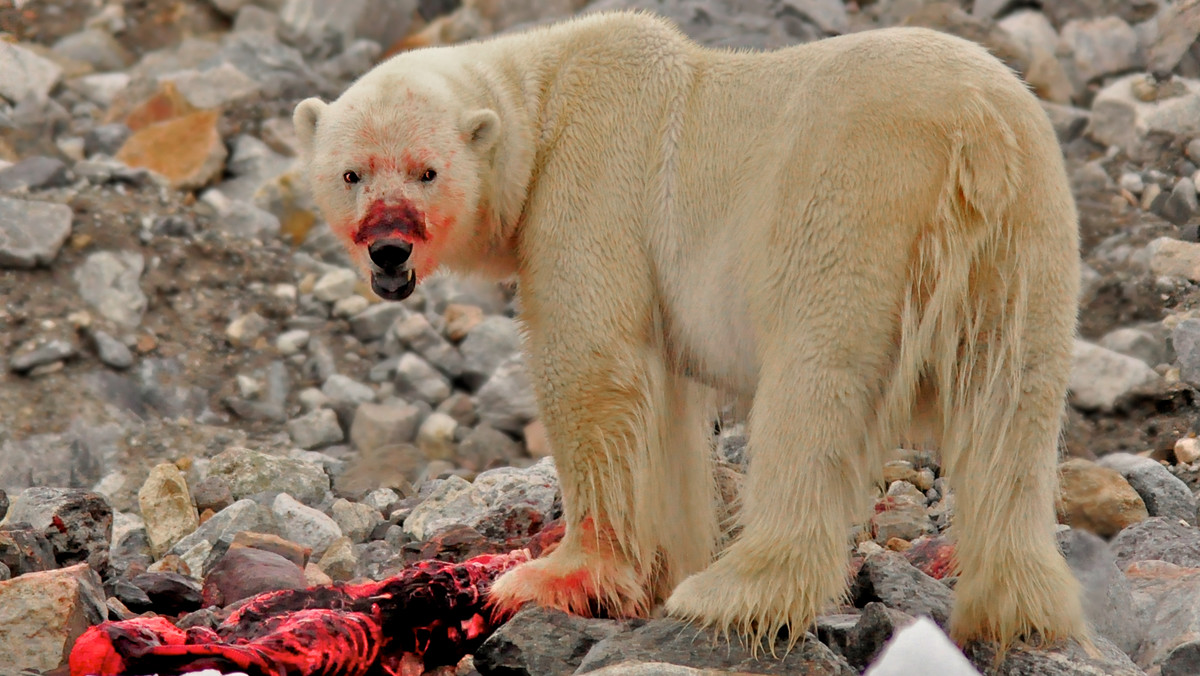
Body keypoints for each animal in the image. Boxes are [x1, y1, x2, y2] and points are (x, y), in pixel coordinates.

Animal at [297, 10, 1089, 653]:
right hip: (1029, 232)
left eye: (426, 172)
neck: (545, 95)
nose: (389, 247)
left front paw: (553, 578)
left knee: (814, 391)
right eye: (352, 173)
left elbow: (590, 366)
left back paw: (733, 593)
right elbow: (666, 415)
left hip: (852, 204)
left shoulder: (592, 182)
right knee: (1012, 407)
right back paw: (1017, 612)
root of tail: (975, 132)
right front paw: (657, 568)